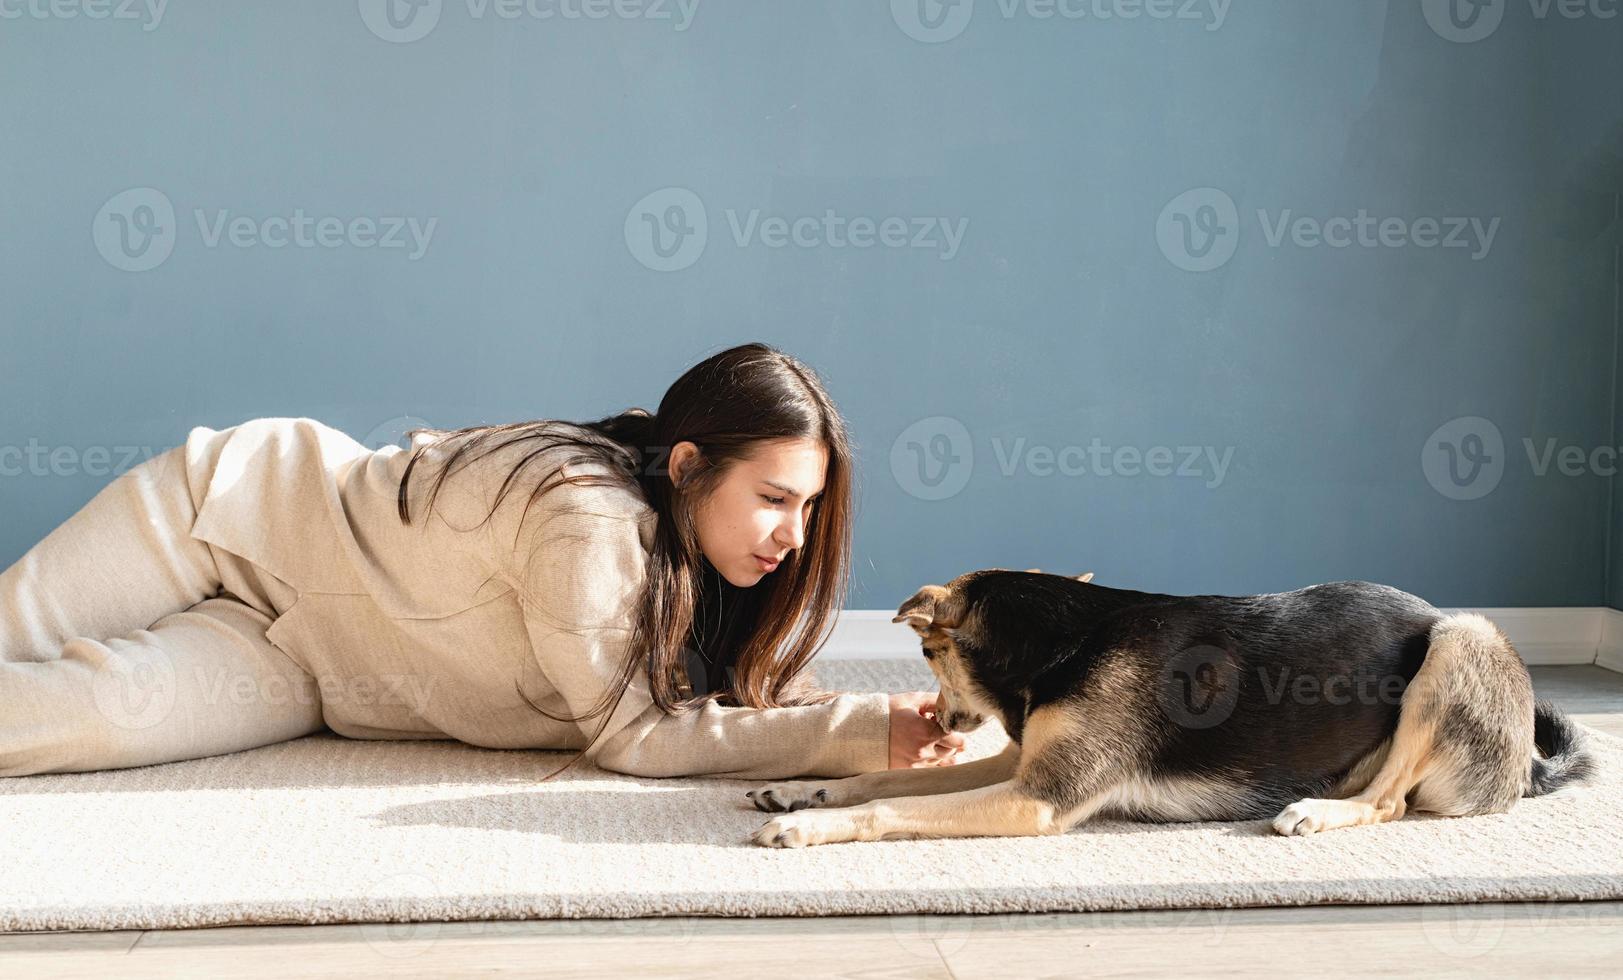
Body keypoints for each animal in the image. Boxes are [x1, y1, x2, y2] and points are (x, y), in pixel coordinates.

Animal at [746, 571, 1597, 843]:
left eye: (928, 656)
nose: (938, 718)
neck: (1060, 640)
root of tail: (1524, 767)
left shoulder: (1036, 798)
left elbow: (888, 808)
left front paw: (804, 826)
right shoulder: (1022, 765)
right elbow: (881, 780)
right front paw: (797, 789)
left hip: (1461, 635)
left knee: (1388, 802)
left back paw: (1315, 812)